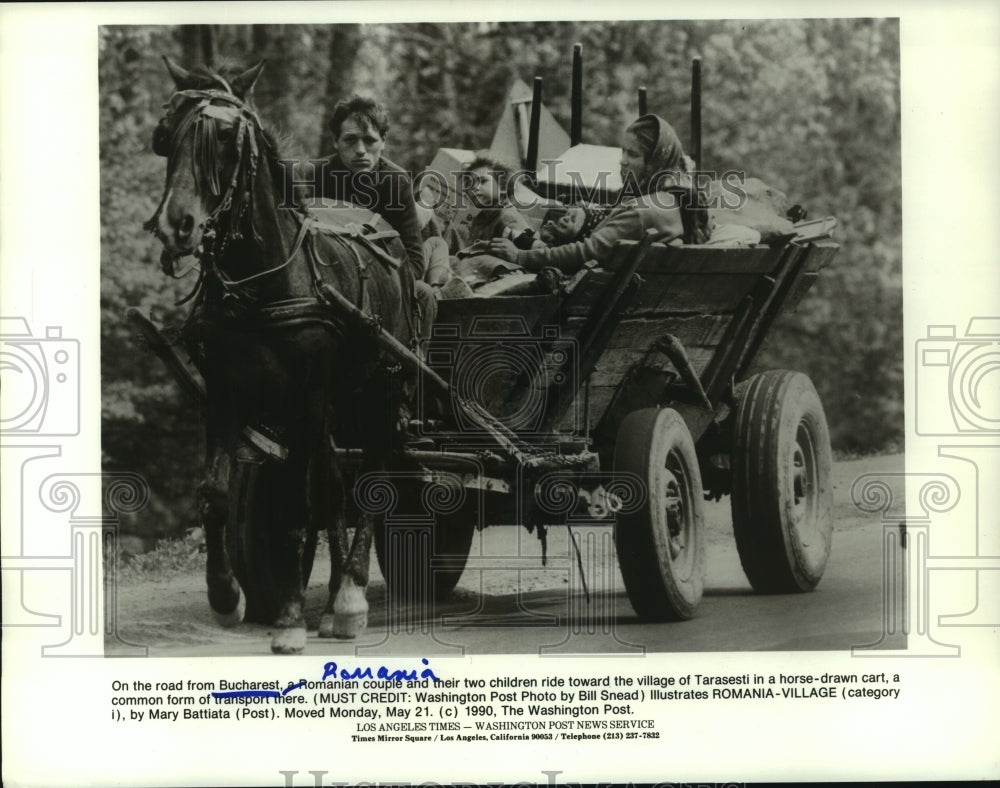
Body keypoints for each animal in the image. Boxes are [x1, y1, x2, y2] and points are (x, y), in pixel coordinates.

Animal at [145, 57, 413, 653]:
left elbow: (301, 502)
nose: (177, 226)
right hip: (339, 402)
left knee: (372, 481)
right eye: (166, 135)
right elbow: (218, 494)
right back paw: (334, 598)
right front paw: (226, 594)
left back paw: (350, 595)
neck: (261, 283)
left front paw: (291, 619)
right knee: (335, 482)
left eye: (226, 137)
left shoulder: (307, 393)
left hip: (379, 386)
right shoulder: (227, 393)